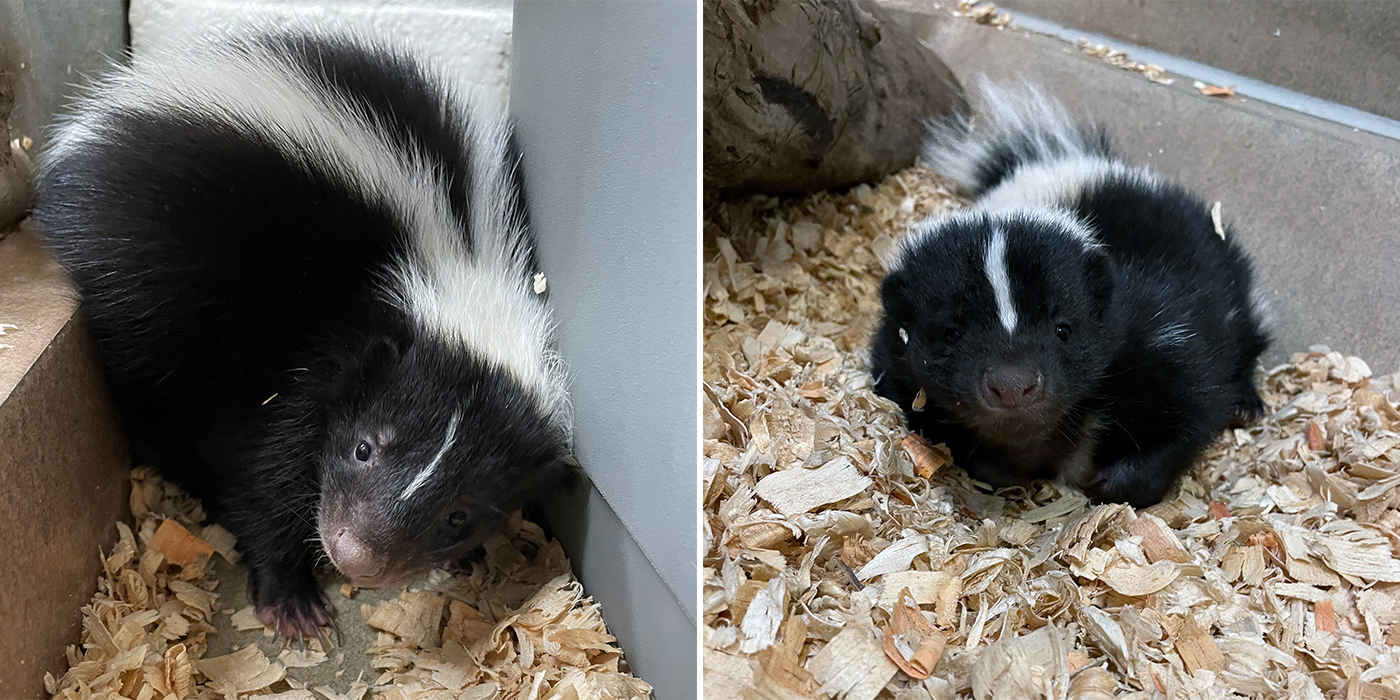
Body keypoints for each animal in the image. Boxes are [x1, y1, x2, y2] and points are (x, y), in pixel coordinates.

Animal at [36, 28, 574, 641]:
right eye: (364, 447)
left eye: (459, 515)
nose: (354, 553)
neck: (460, 259)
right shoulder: (333, 348)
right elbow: (271, 467)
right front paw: (288, 595)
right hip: (138, 280)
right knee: (151, 393)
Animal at [868, 81, 1276, 509]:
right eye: (952, 333)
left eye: (1063, 329)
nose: (1013, 385)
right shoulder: (895, 366)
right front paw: (1000, 469)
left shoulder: (1162, 333)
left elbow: (1193, 410)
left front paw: (1115, 482)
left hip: (1229, 279)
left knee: (1245, 332)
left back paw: (1246, 402)